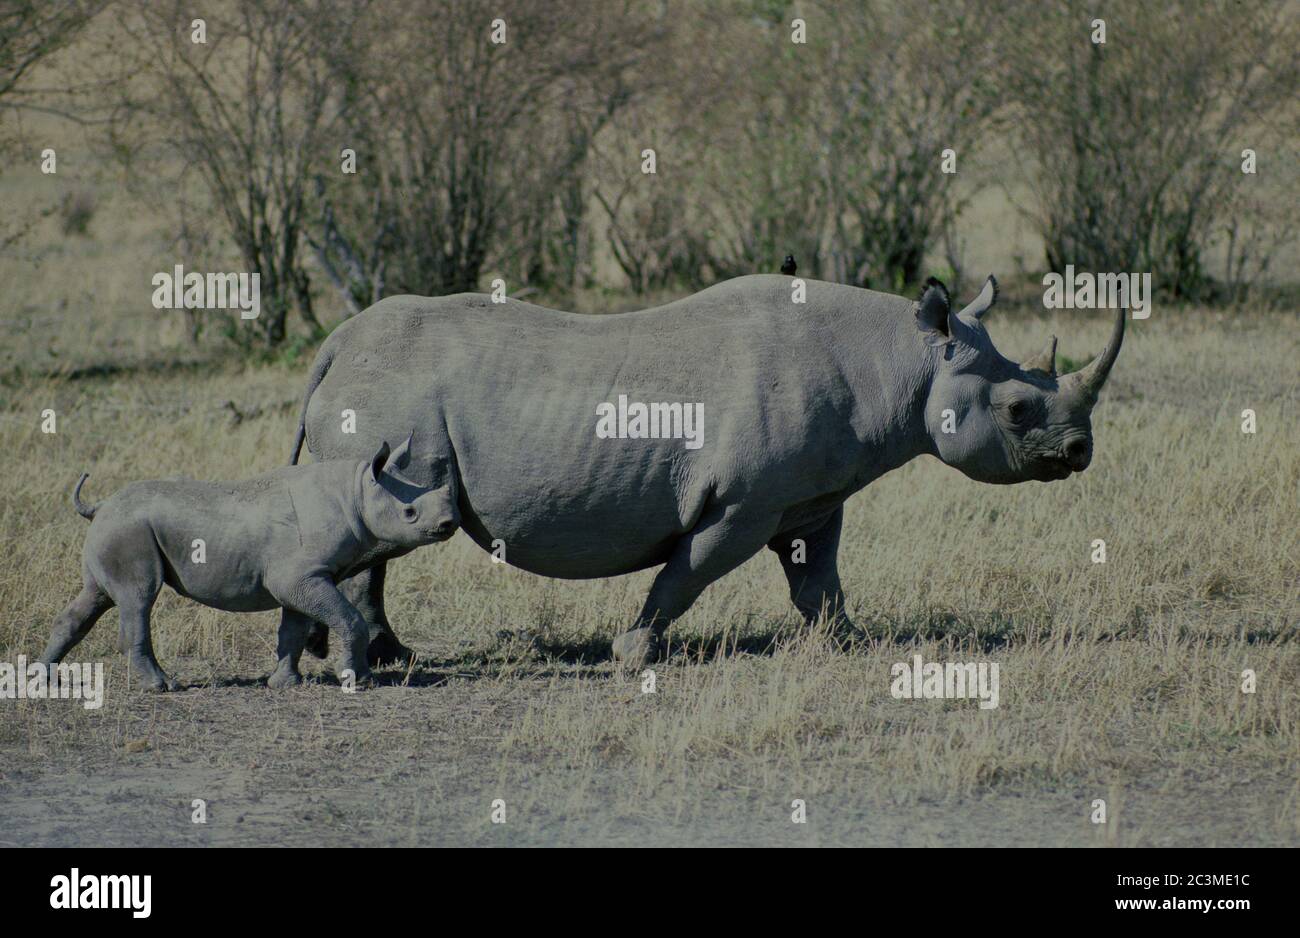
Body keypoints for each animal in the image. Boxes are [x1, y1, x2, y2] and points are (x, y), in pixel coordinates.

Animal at [38, 433, 457, 691]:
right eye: (409, 513)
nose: (448, 523)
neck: (355, 490)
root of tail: (100, 505)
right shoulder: (300, 575)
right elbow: (347, 618)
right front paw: (360, 681)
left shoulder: (302, 575)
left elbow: (293, 629)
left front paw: (285, 684)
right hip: (129, 531)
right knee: (138, 599)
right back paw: (162, 687)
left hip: (116, 529)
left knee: (96, 598)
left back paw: (43, 680)